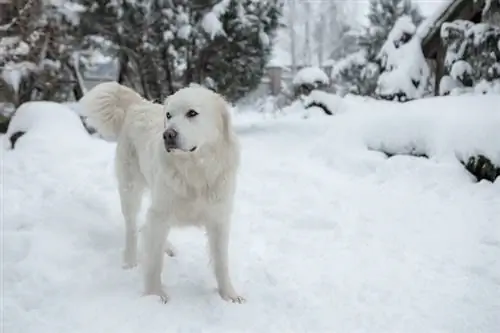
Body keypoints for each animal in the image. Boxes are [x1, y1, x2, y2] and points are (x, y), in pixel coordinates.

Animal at [80, 81, 244, 302]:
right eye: (169, 115)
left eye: (192, 113)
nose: (168, 135)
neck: (195, 171)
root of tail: (138, 105)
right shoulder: (160, 213)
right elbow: (154, 262)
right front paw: (154, 296)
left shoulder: (219, 219)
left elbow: (221, 262)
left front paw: (229, 295)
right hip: (130, 189)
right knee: (132, 227)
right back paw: (130, 260)